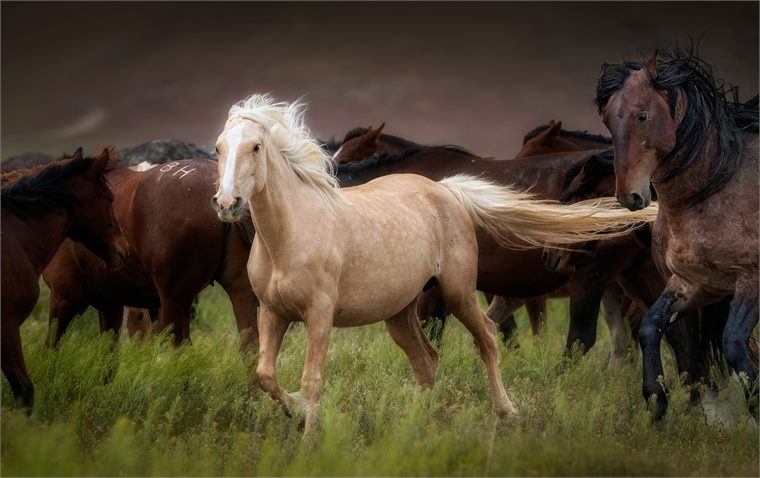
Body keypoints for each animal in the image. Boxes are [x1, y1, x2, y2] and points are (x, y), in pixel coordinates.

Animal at [211, 94, 655, 437]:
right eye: (218, 148)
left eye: (255, 147)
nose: (227, 203)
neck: (291, 233)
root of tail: (445, 190)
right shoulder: (274, 313)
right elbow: (265, 374)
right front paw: (296, 411)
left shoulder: (319, 315)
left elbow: (311, 379)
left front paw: (308, 437)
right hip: (401, 313)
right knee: (426, 363)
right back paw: (413, 426)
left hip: (460, 293)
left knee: (488, 338)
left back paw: (506, 412)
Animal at [595, 46, 759, 418]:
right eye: (608, 119)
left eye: (641, 116)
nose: (629, 196)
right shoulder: (692, 284)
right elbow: (650, 328)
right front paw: (657, 403)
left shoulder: (752, 282)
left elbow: (734, 344)